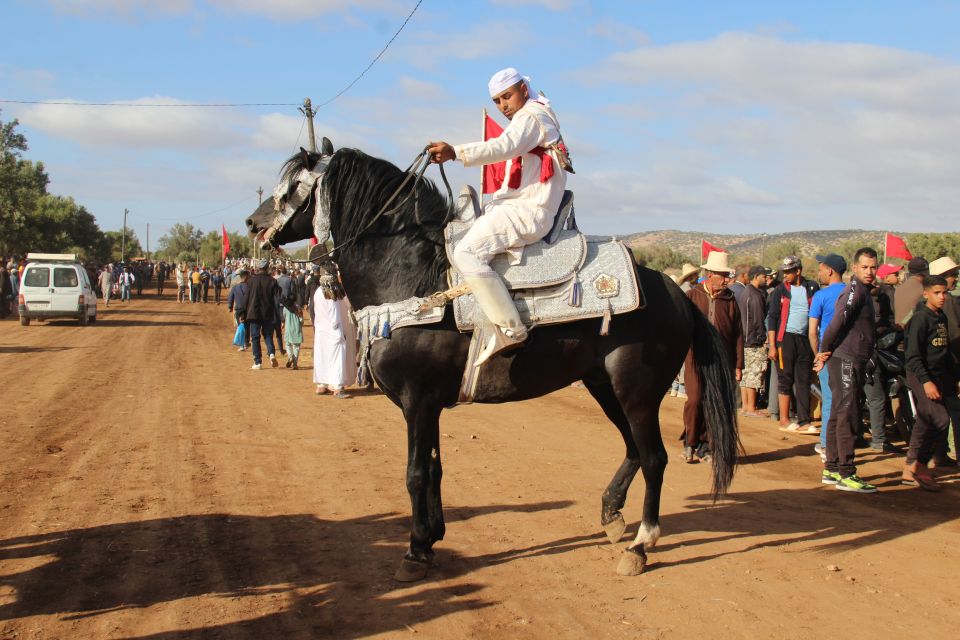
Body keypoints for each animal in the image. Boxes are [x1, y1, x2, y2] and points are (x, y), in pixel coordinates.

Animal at [244, 140, 740, 580]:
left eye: (293, 186)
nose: (252, 223)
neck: (410, 276)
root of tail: (676, 292)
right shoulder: (430, 405)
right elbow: (435, 468)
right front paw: (431, 538)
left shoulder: (416, 402)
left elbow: (416, 473)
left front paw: (414, 550)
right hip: (605, 388)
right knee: (634, 450)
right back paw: (611, 513)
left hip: (637, 393)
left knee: (654, 458)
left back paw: (640, 545)